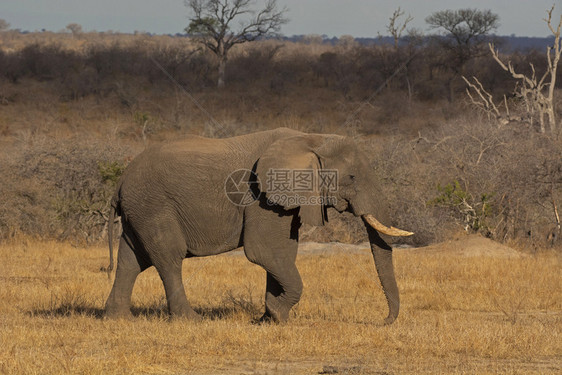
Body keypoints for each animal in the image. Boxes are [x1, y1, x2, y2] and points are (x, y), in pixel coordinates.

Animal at [105, 128, 412, 324]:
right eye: (351, 177)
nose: (383, 321)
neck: (311, 138)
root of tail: (120, 183)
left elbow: (283, 252)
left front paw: (269, 318)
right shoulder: (260, 197)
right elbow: (263, 251)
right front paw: (277, 313)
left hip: (140, 210)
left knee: (131, 259)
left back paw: (118, 319)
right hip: (154, 206)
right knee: (169, 258)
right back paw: (191, 320)